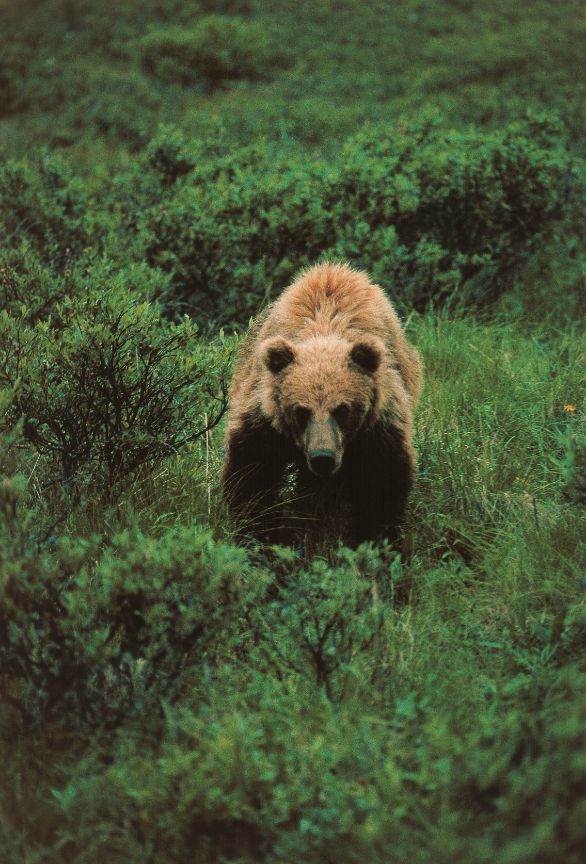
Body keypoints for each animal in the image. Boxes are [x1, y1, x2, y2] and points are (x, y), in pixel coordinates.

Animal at [221, 261, 422, 548]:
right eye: (300, 411)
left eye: (342, 410)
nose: (322, 458)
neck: (325, 326)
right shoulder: (264, 419)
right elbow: (252, 476)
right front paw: (257, 536)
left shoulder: (379, 424)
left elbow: (381, 482)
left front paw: (375, 540)